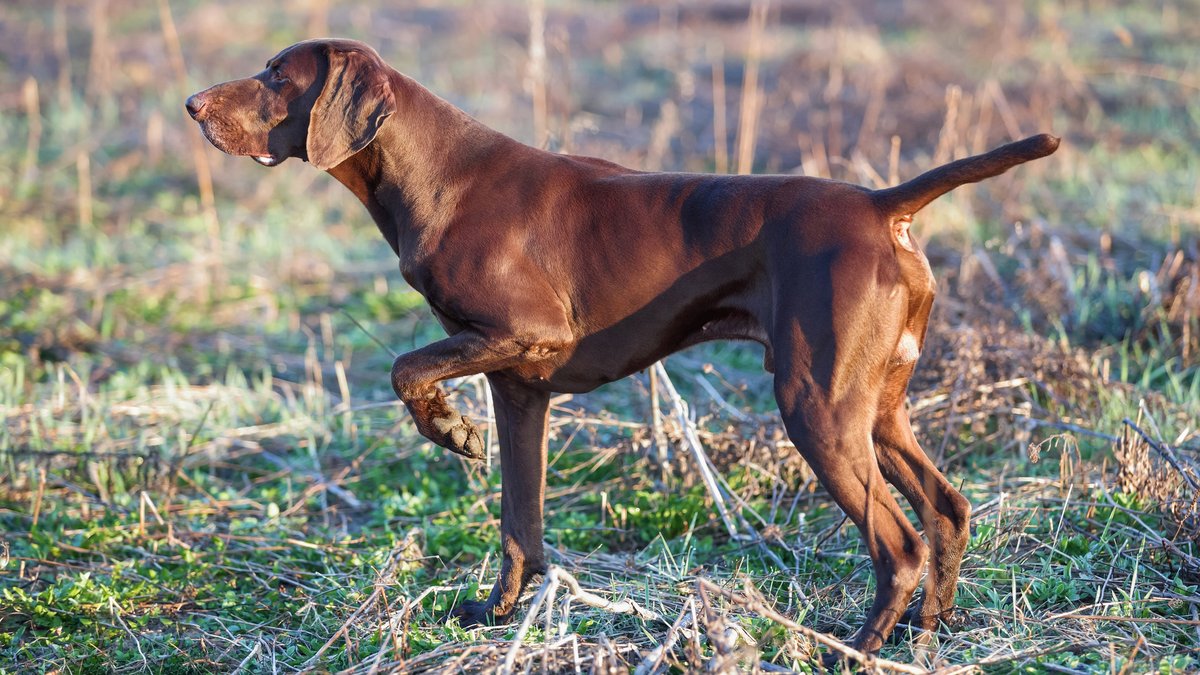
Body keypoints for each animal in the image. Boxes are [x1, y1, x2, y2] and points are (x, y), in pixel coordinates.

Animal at [187, 38, 1060, 653]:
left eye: (275, 74)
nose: (192, 104)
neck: (435, 172)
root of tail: (882, 206)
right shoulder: (518, 385)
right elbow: (520, 519)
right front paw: (501, 612)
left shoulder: (523, 335)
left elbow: (408, 370)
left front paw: (449, 428)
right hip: (875, 406)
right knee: (946, 507)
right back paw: (924, 630)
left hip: (816, 405)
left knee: (899, 538)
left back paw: (859, 644)